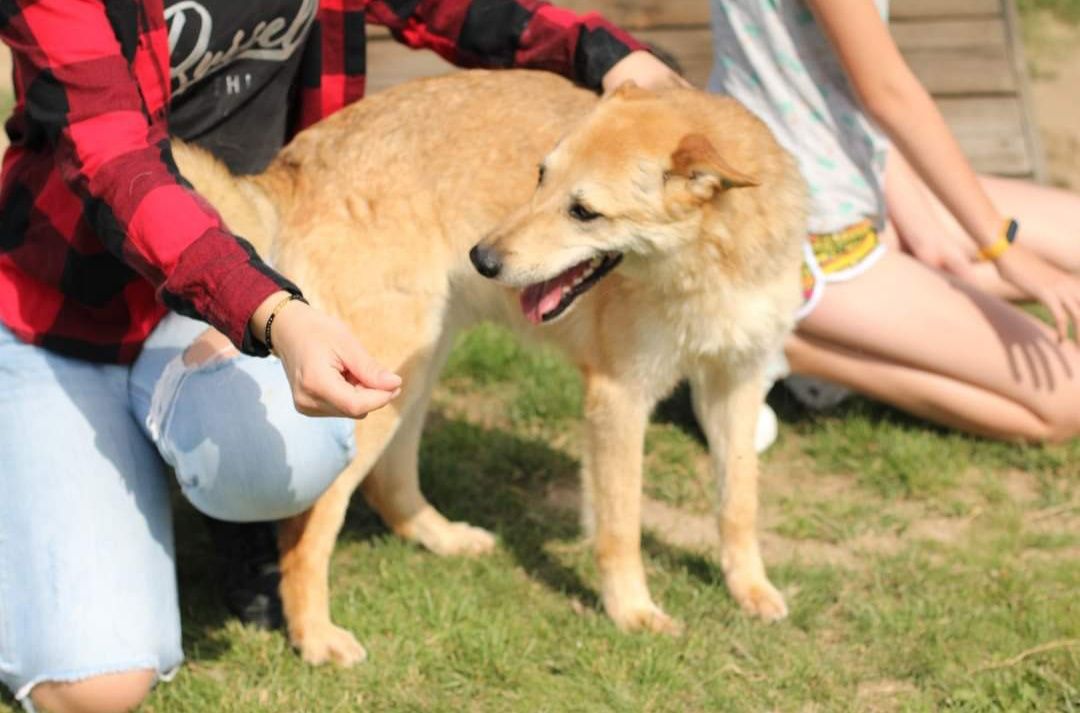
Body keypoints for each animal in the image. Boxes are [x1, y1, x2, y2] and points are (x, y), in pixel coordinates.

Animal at [174, 69, 803, 665]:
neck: (714, 257)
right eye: (540, 176)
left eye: (584, 212)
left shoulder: (736, 386)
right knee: (307, 523)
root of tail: (297, 161)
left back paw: (441, 538)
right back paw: (313, 635)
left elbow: (739, 503)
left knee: (387, 479)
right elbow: (621, 526)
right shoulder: (620, 397)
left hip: (414, 370)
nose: (483, 258)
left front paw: (750, 589)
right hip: (368, 386)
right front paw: (632, 610)